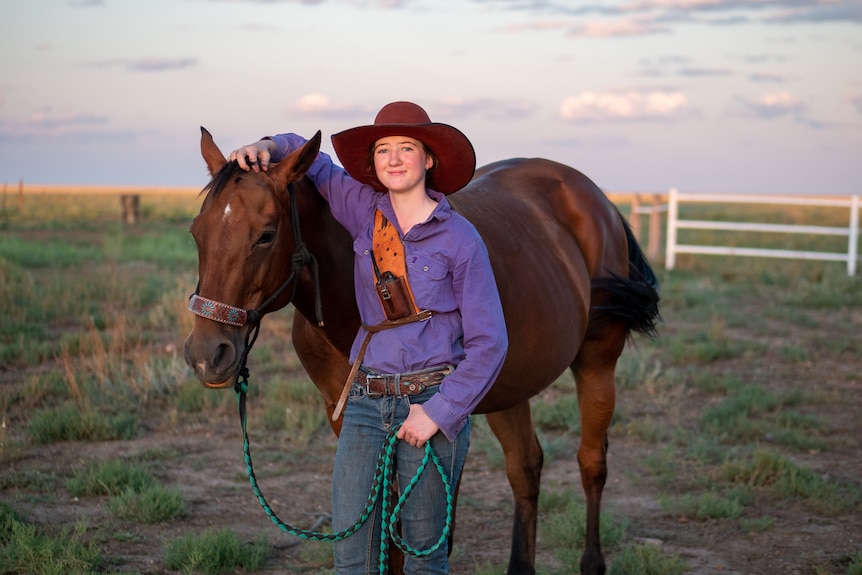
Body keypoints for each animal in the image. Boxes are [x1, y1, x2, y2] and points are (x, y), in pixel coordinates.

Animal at [184, 128, 660, 572]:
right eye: (196, 232)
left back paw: (592, 561)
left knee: (591, 463)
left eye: (265, 236)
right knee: (525, 467)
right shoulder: (345, 417)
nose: (207, 355)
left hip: (596, 364)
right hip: (510, 388)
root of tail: (595, 198)